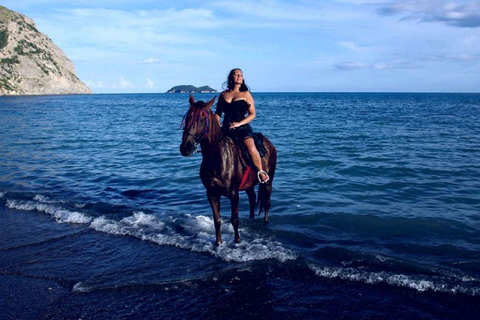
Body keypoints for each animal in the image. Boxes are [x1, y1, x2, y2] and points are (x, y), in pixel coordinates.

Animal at [180, 95, 278, 245]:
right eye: (187, 118)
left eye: (201, 120)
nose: (186, 147)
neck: (217, 159)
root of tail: (269, 144)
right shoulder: (211, 193)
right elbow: (217, 220)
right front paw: (218, 243)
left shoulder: (233, 194)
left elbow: (234, 220)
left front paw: (237, 241)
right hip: (249, 185)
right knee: (252, 198)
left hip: (268, 182)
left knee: (266, 203)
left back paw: (265, 223)